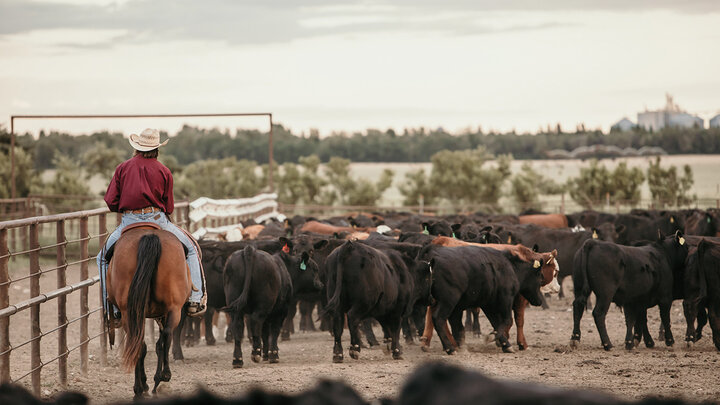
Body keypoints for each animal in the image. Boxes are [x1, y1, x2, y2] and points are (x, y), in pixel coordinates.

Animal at [106, 226, 191, 400]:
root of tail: (149, 236)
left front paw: (145, 385)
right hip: (173, 308)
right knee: (165, 336)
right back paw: (162, 378)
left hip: (130, 313)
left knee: (142, 342)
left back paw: (143, 387)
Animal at [422, 237, 564, 350]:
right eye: (555, 271)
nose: (558, 288)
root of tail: (440, 241)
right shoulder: (515, 300)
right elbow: (516, 321)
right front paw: (518, 343)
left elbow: (499, 321)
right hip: (450, 299)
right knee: (439, 317)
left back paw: (428, 341)